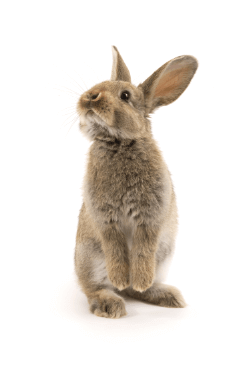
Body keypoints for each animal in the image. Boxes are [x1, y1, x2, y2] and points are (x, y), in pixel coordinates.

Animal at [74, 45, 197, 318]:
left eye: (125, 95)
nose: (89, 97)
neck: (120, 143)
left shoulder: (151, 215)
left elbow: (143, 249)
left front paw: (140, 280)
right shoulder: (105, 217)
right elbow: (115, 246)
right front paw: (120, 278)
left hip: (163, 254)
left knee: (135, 291)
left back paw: (161, 294)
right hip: (90, 257)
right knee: (94, 288)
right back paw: (111, 302)